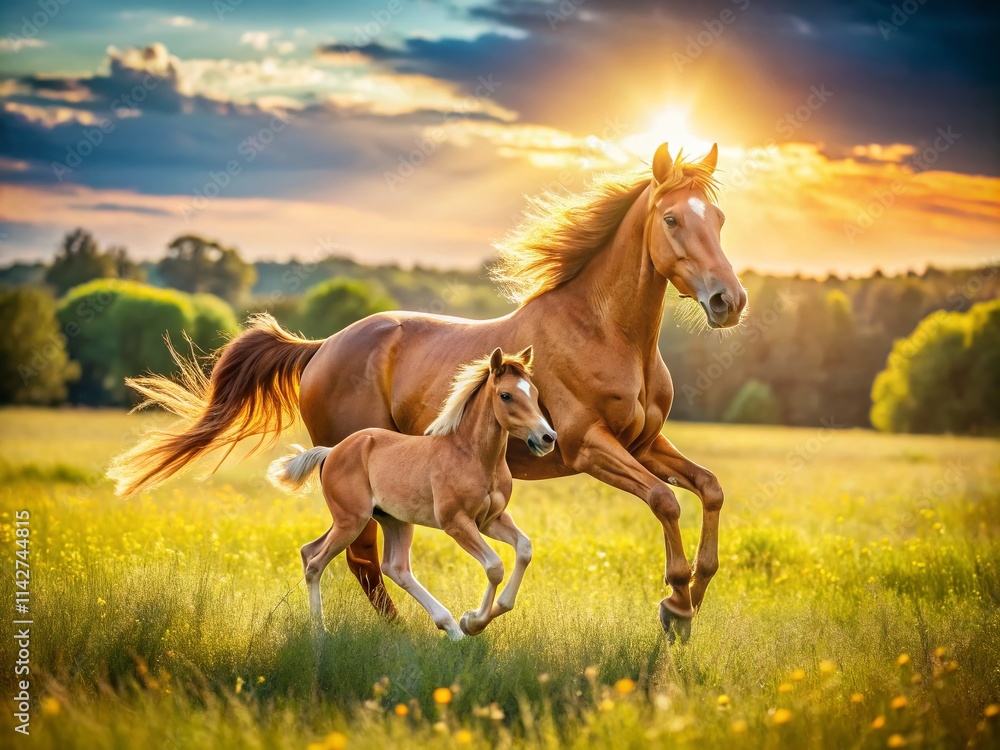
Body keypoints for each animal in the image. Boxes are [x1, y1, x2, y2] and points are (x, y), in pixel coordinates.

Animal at [266, 347, 553, 639]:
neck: (473, 455)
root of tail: (332, 451)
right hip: (352, 520)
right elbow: (495, 567)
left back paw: (451, 628)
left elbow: (524, 549)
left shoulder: (490, 520)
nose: (547, 437)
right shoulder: (456, 523)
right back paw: (320, 634)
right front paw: (472, 622)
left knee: (388, 566)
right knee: (315, 562)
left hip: (392, 520)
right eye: (506, 395)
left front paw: (471, 621)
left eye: (534, 393)